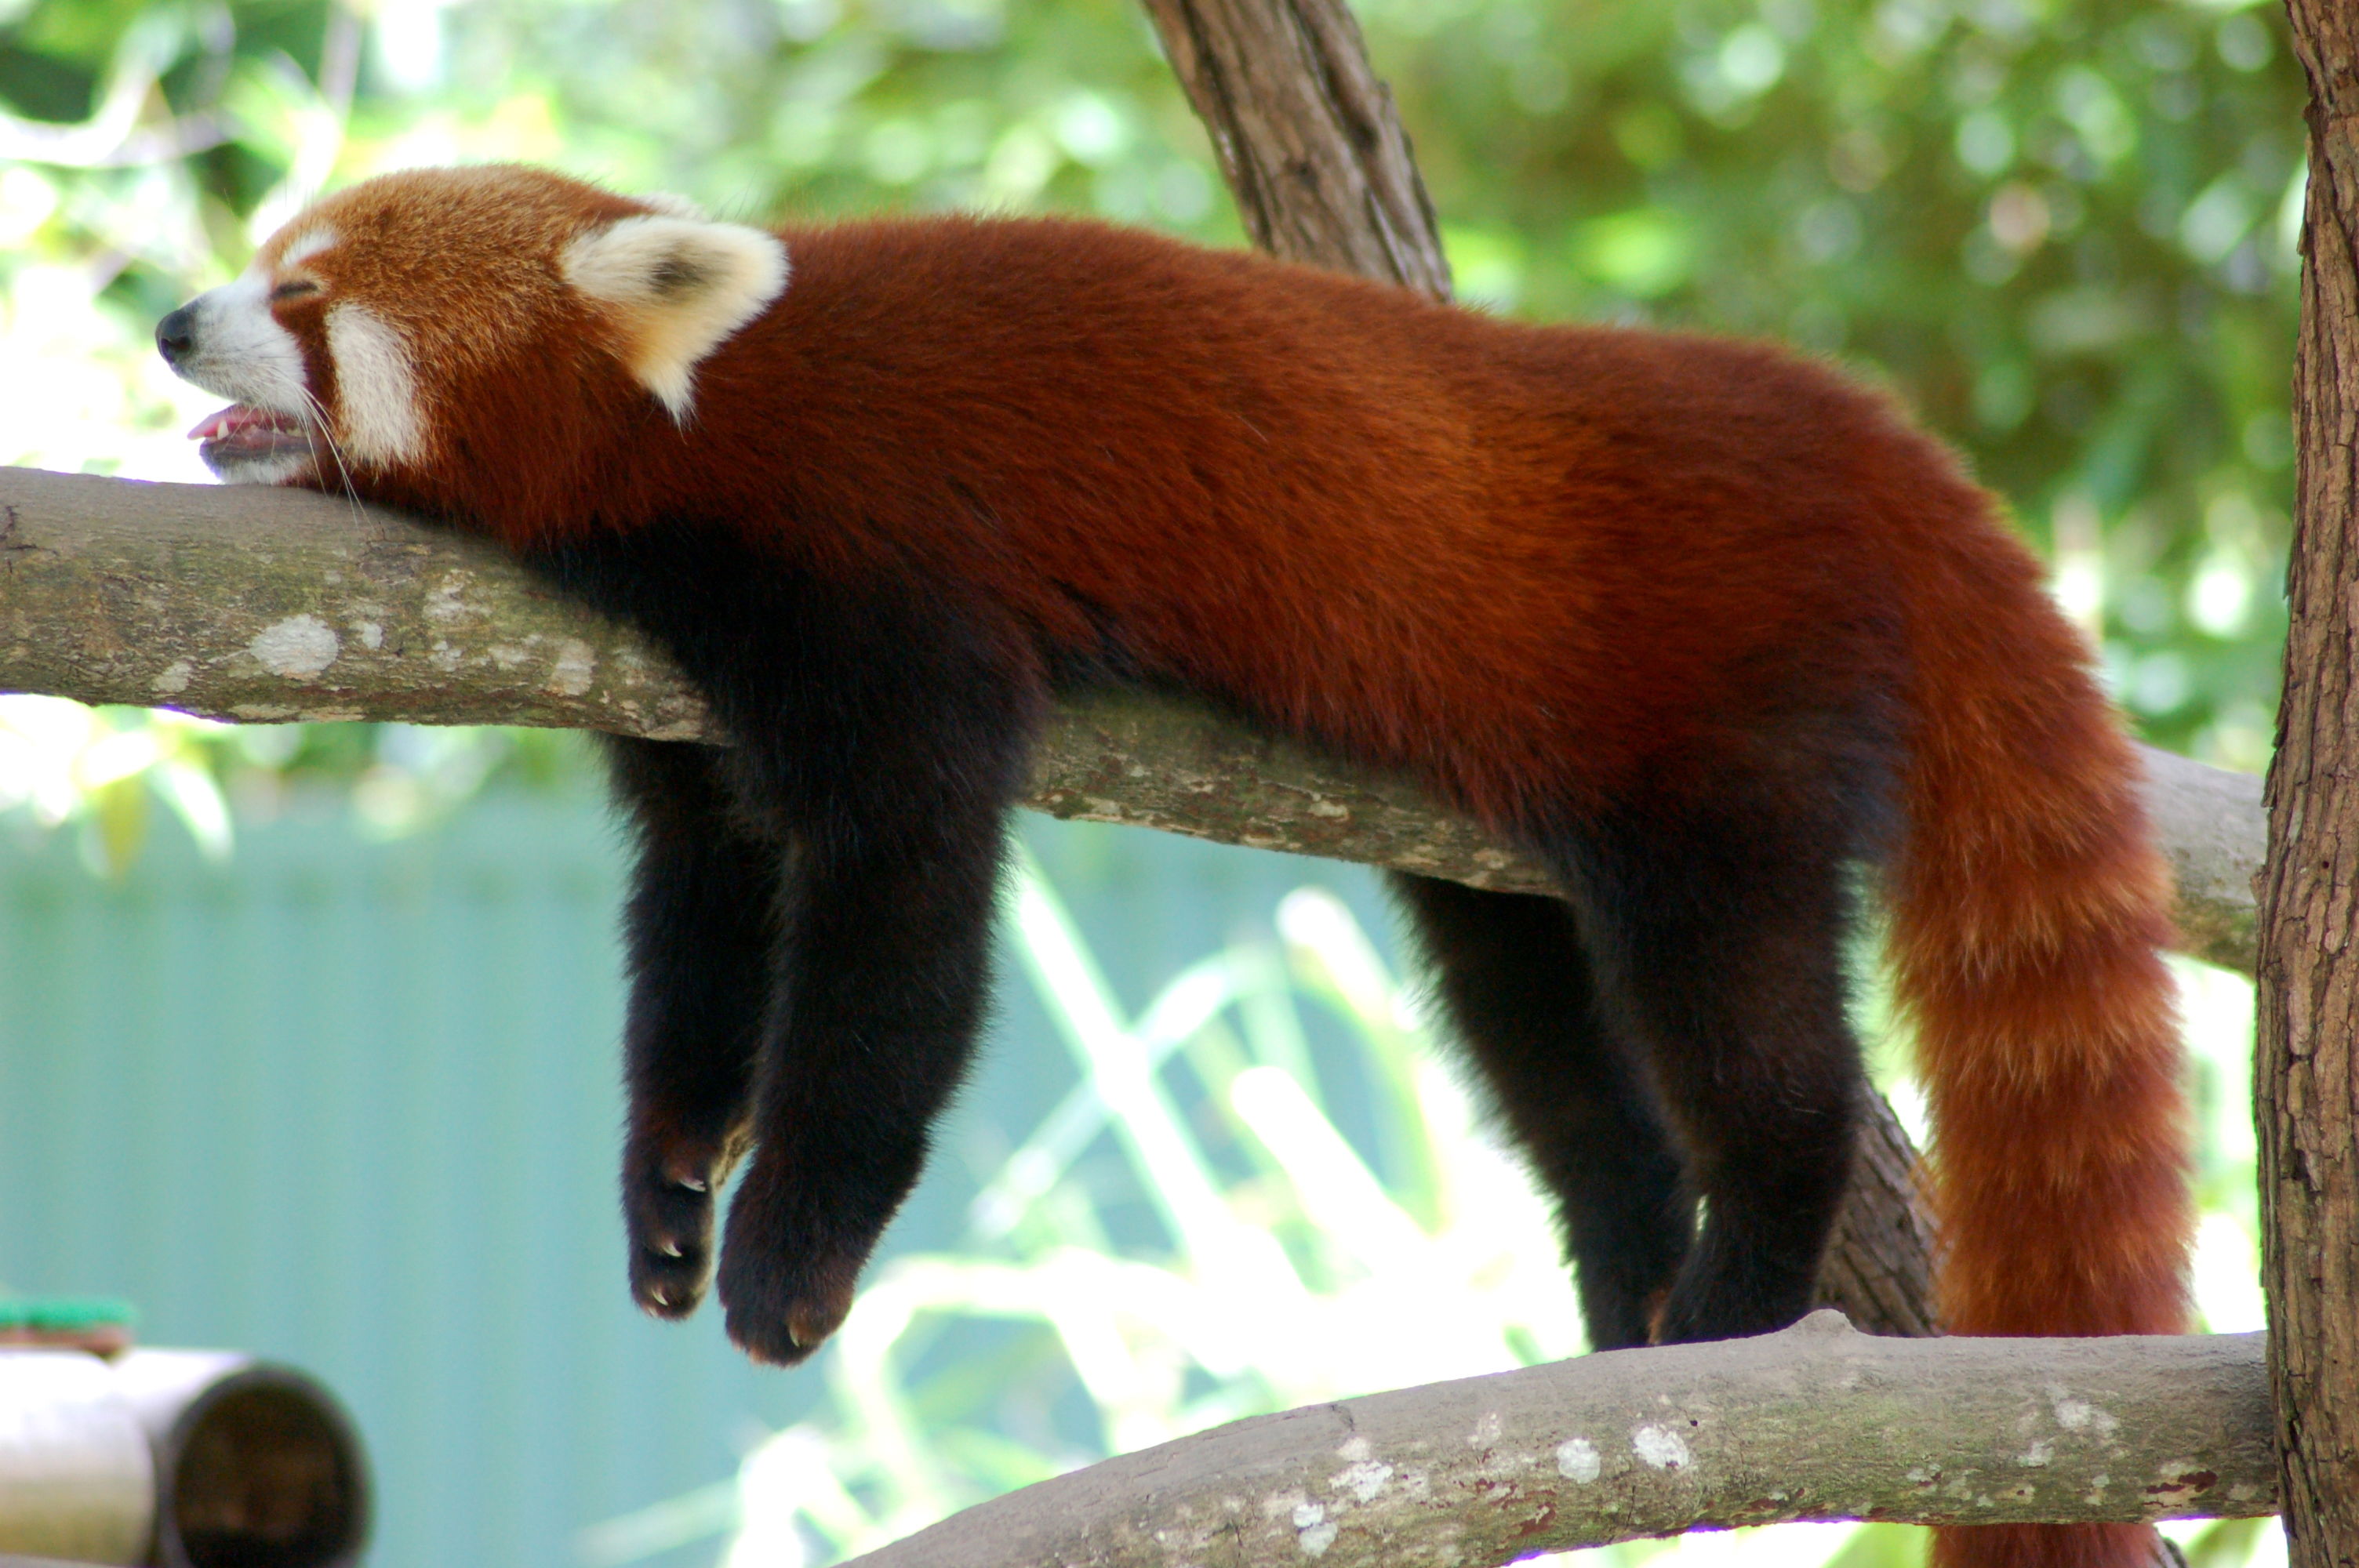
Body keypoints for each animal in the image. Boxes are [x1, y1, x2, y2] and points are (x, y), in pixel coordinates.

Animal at [162, 169, 2189, 1565]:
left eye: (307, 290)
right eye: (264, 259)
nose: (179, 322)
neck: (702, 426)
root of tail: (1834, 419)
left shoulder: (883, 583)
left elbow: (900, 933)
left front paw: (789, 1253)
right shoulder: (676, 688)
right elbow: (708, 919)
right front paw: (666, 1183)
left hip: (1715, 731)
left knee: (1748, 1022)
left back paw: (1749, 1268)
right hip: (1516, 812)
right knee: (1540, 1032)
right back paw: (1628, 1284)